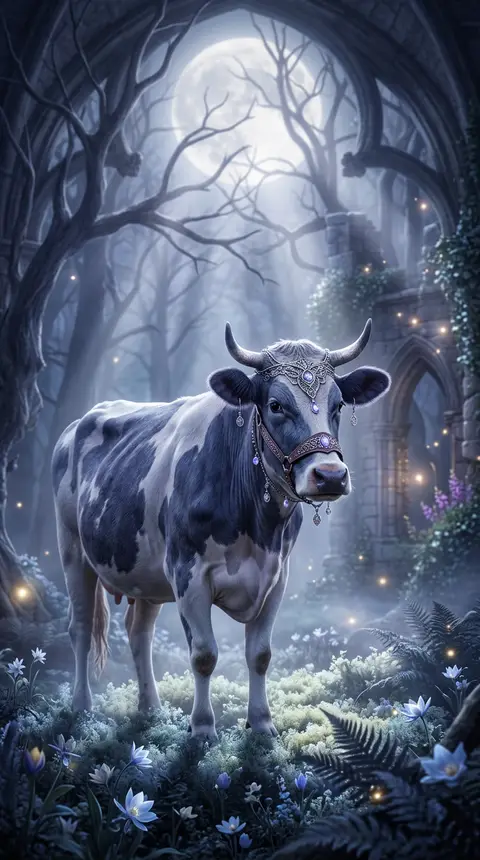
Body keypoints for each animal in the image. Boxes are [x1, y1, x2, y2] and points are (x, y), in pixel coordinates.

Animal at [52, 320, 390, 740]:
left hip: (144, 572)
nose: (329, 475)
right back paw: (82, 707)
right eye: (276, 405)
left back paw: (151, 710)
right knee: (80, 627)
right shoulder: (188, 574)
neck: (255, 525)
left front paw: (262, 725)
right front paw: (202, 729)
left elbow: (260, 654)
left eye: (338, 405)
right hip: (72, 549)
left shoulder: (276, 577)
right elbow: (204, 654)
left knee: (138, 632)